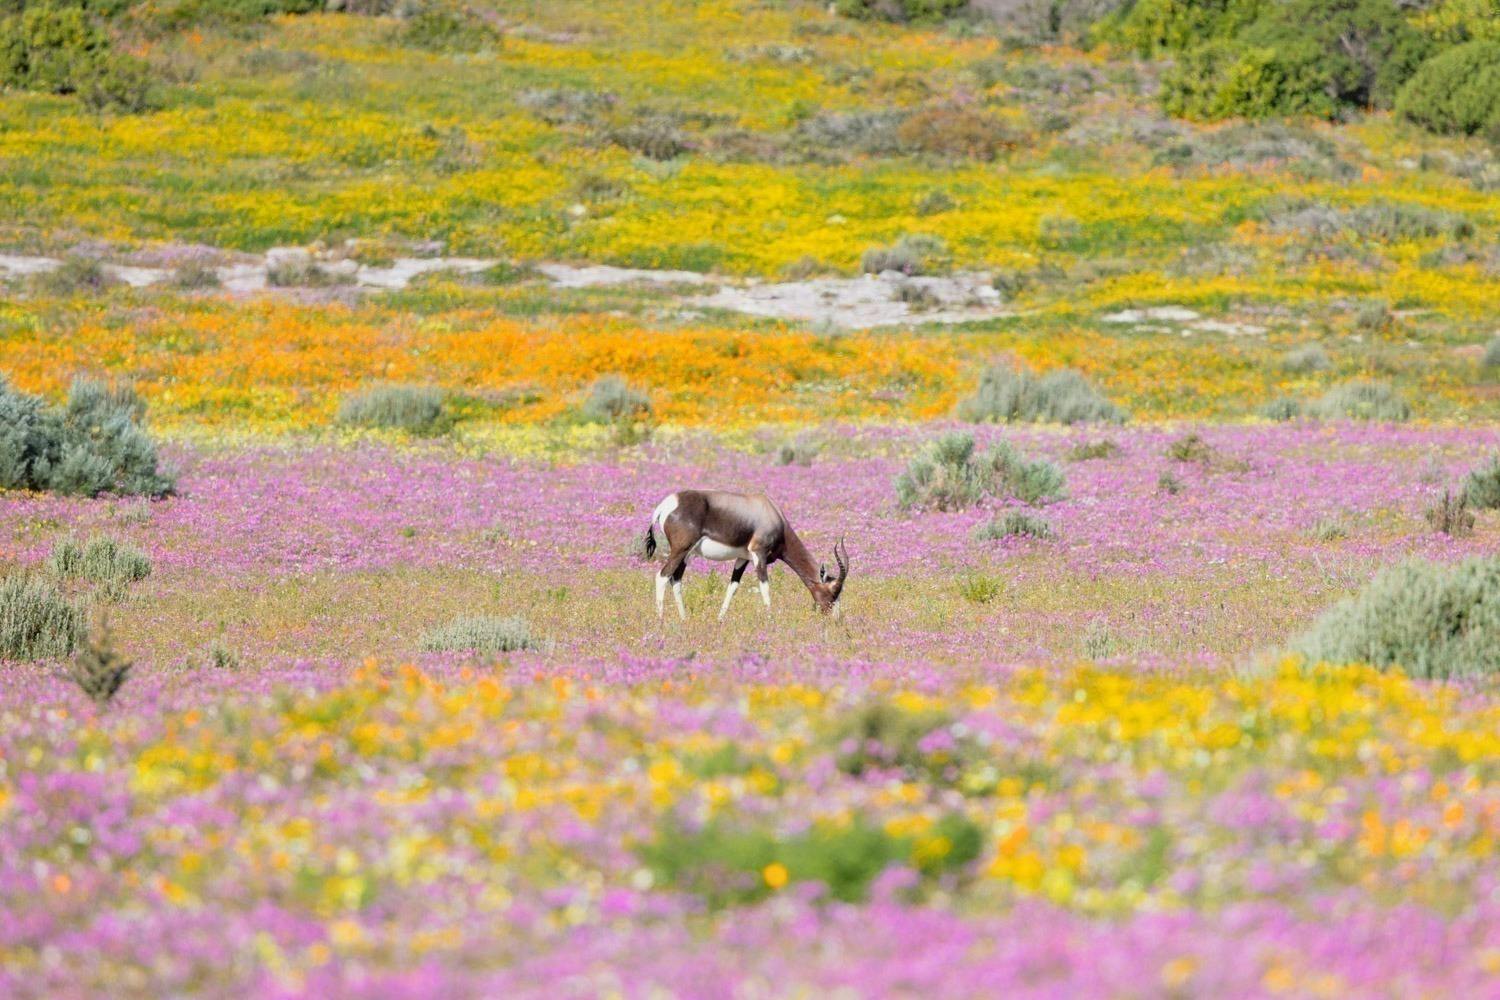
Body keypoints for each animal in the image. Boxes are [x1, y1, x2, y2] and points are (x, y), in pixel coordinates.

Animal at [642, 491, 852, 620]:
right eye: (833, 592)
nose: (835, 619)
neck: (770, 511)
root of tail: (666, 505)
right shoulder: (759, 554)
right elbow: (765, 587)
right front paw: (770, 619)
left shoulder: (743, 558)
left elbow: (733, 587)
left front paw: (720, 619)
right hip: (680, 550)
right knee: (662, 576)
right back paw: (661, 620)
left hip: (687, 554)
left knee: (676, 579)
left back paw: (684, 618)